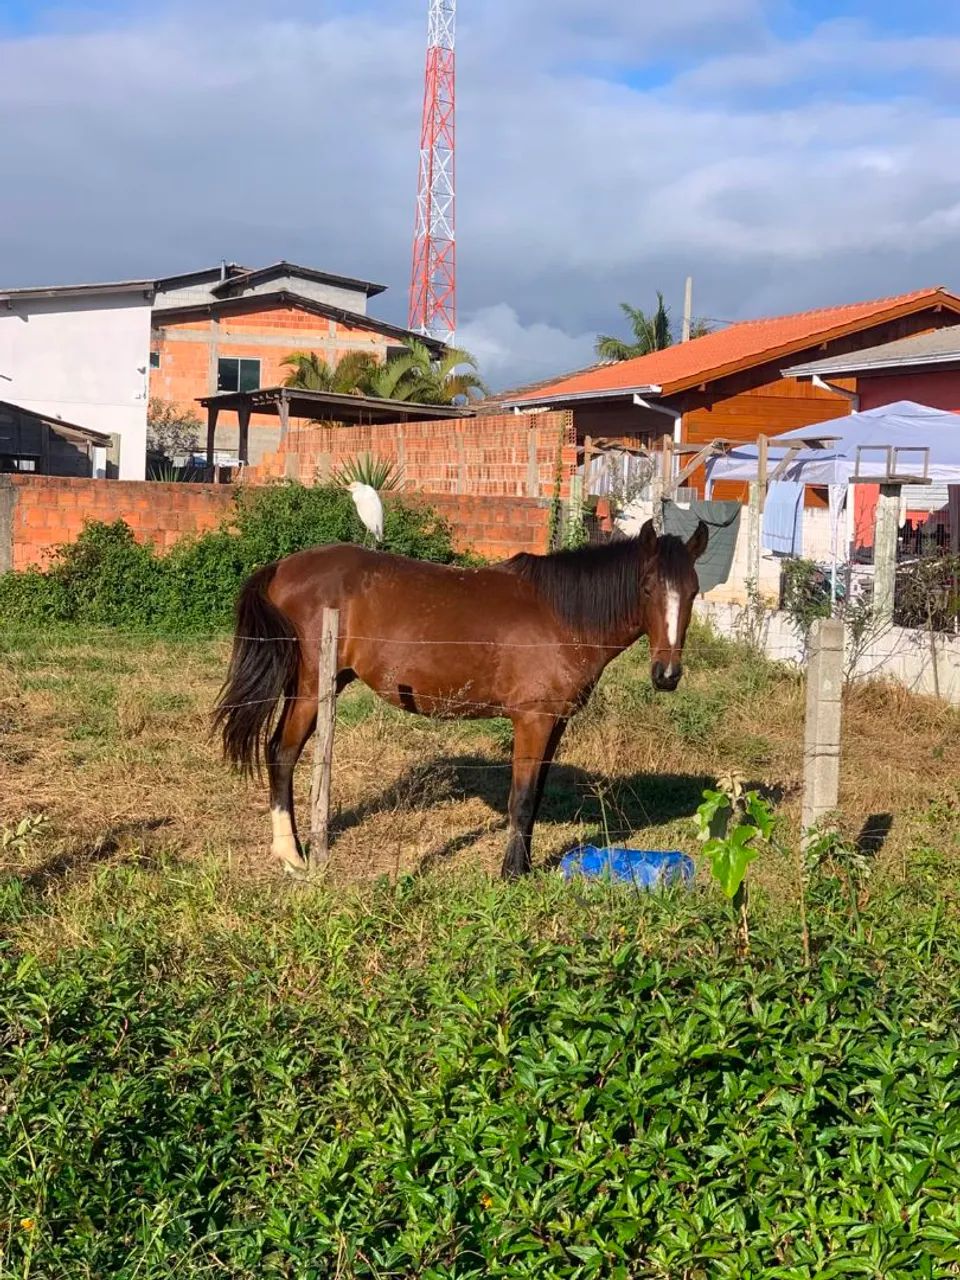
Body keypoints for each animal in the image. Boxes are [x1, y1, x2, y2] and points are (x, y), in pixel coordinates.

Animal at [213, 518, 708, 878]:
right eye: (647, 588)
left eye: (693, 592)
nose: (667, 676)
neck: (563, 616)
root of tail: (281, 568)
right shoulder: (532, 721)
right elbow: (521, 798)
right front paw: (511, 874)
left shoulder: (556, 722)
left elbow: (535, 796)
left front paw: (525, 866)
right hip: (313, 689)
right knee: (282, 753)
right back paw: (291, 855)